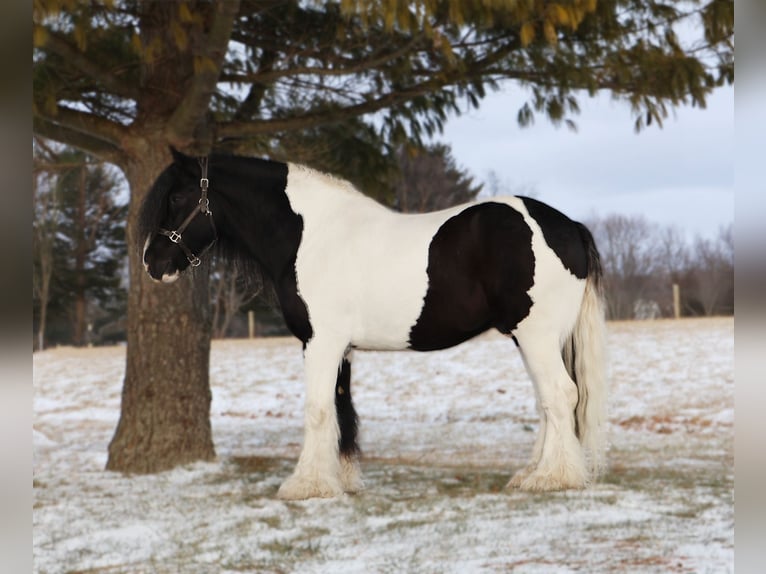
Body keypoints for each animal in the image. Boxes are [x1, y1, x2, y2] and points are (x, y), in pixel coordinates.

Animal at [140, 149, 608, 500]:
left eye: (177, 198)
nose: (152, 264)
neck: (310, 235)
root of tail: (569, 226)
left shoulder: (320, 342)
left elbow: (316, 408)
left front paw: (305, 485)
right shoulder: (340, 347)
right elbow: (342, 408)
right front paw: (342, 480)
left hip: (536, 335)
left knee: (560, 395)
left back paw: (553, 478)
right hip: (529, 338)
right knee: (548, 402)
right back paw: (533, 473)